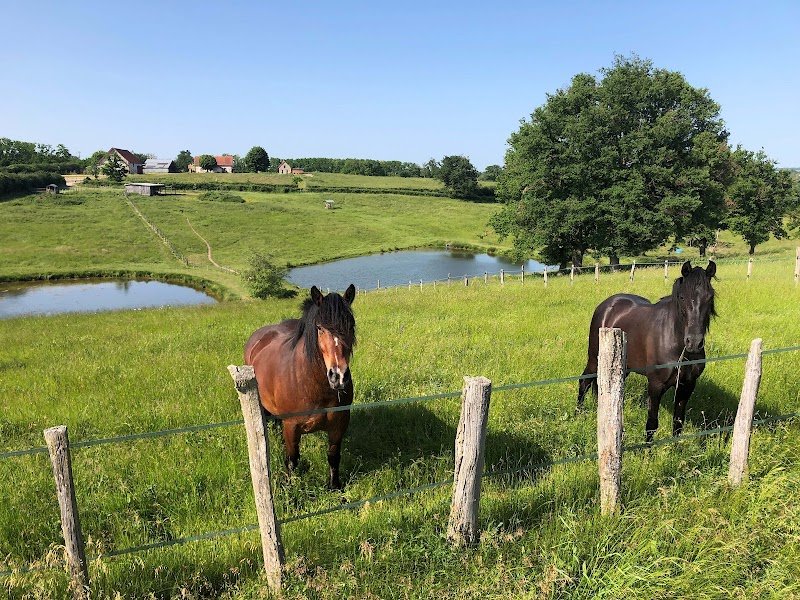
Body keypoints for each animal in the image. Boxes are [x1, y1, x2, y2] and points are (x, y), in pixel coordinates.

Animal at [244, 284, 356, 490]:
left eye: (351, 325)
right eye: (319, 328)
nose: (338, 376)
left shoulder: (339, 423)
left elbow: (333, 456)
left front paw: (335, 486)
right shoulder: (291, 426)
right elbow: (292, 460)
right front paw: (290, 489)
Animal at [577, 261, 716, 443]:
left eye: (710, 297)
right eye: (682, 297)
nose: (693, 342)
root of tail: (606, 305)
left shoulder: (687, 385)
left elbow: (678, 423)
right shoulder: (655, 385)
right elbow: (651, 424)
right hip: (594, 358)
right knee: (584, 382)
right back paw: (578, 415)